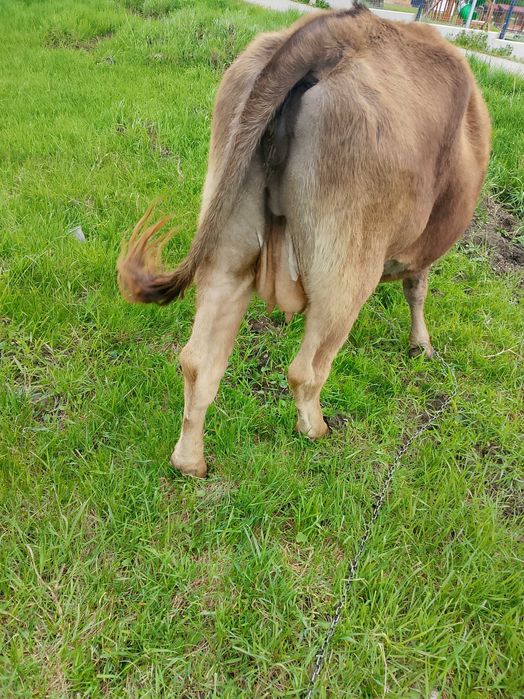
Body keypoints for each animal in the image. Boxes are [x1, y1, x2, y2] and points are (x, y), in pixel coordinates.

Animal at [117, 4, 491, 478]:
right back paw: (316, 428)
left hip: (228, 245)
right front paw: (421, 345)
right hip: (347, 263)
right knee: (306, 369)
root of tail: (339, 29)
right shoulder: (422, 249)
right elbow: (418, 289)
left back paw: (190, 461)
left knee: (200, 359)